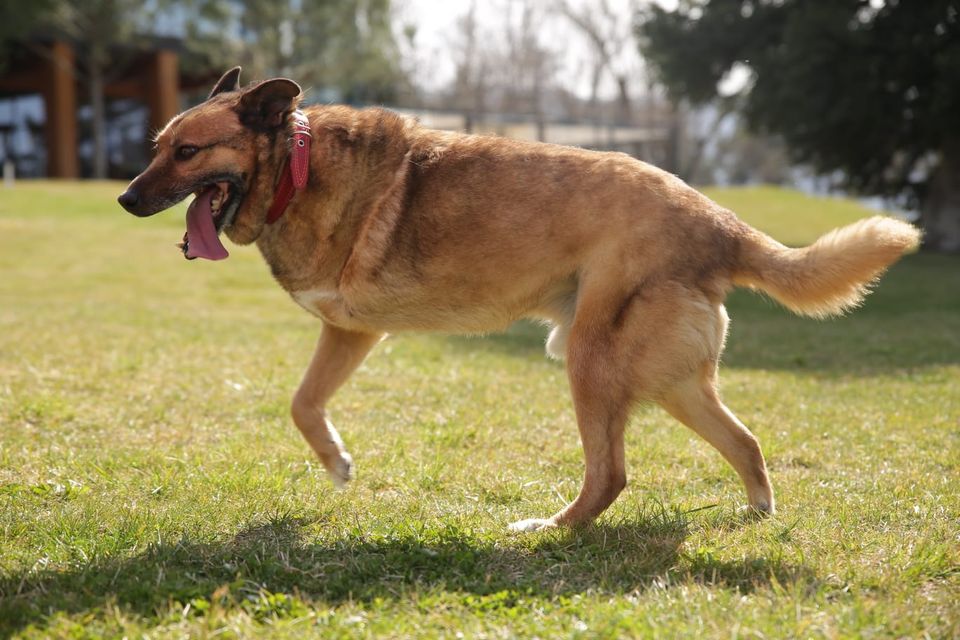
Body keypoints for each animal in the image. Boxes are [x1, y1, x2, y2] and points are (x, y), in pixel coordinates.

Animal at [120, 69, 924, 528]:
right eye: (154, 146)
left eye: (187, 152)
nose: (126, 199)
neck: (297, 165)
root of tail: (716, 221)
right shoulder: (350, 332)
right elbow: (302, 403)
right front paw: (338, 463)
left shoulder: (352, 328)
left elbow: (301, 402)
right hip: (668, 380)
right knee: (745, 442)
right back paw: (758, 513)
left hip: (591, 361)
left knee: (611, 475)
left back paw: (550, 531)